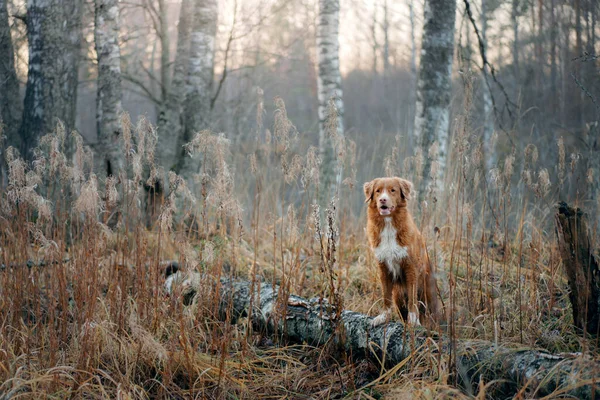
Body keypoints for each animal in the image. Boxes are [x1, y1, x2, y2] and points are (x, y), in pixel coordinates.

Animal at [364, 177, 438, 326]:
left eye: (393, 190)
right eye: (378, 191)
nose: (383, 200)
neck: (388, 225)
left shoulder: (411, 267)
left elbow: (412, 298)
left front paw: (414, 321)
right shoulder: (383, 268)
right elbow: (386, 296)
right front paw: (383, 317)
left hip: (428, 295)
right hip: (398, 295)